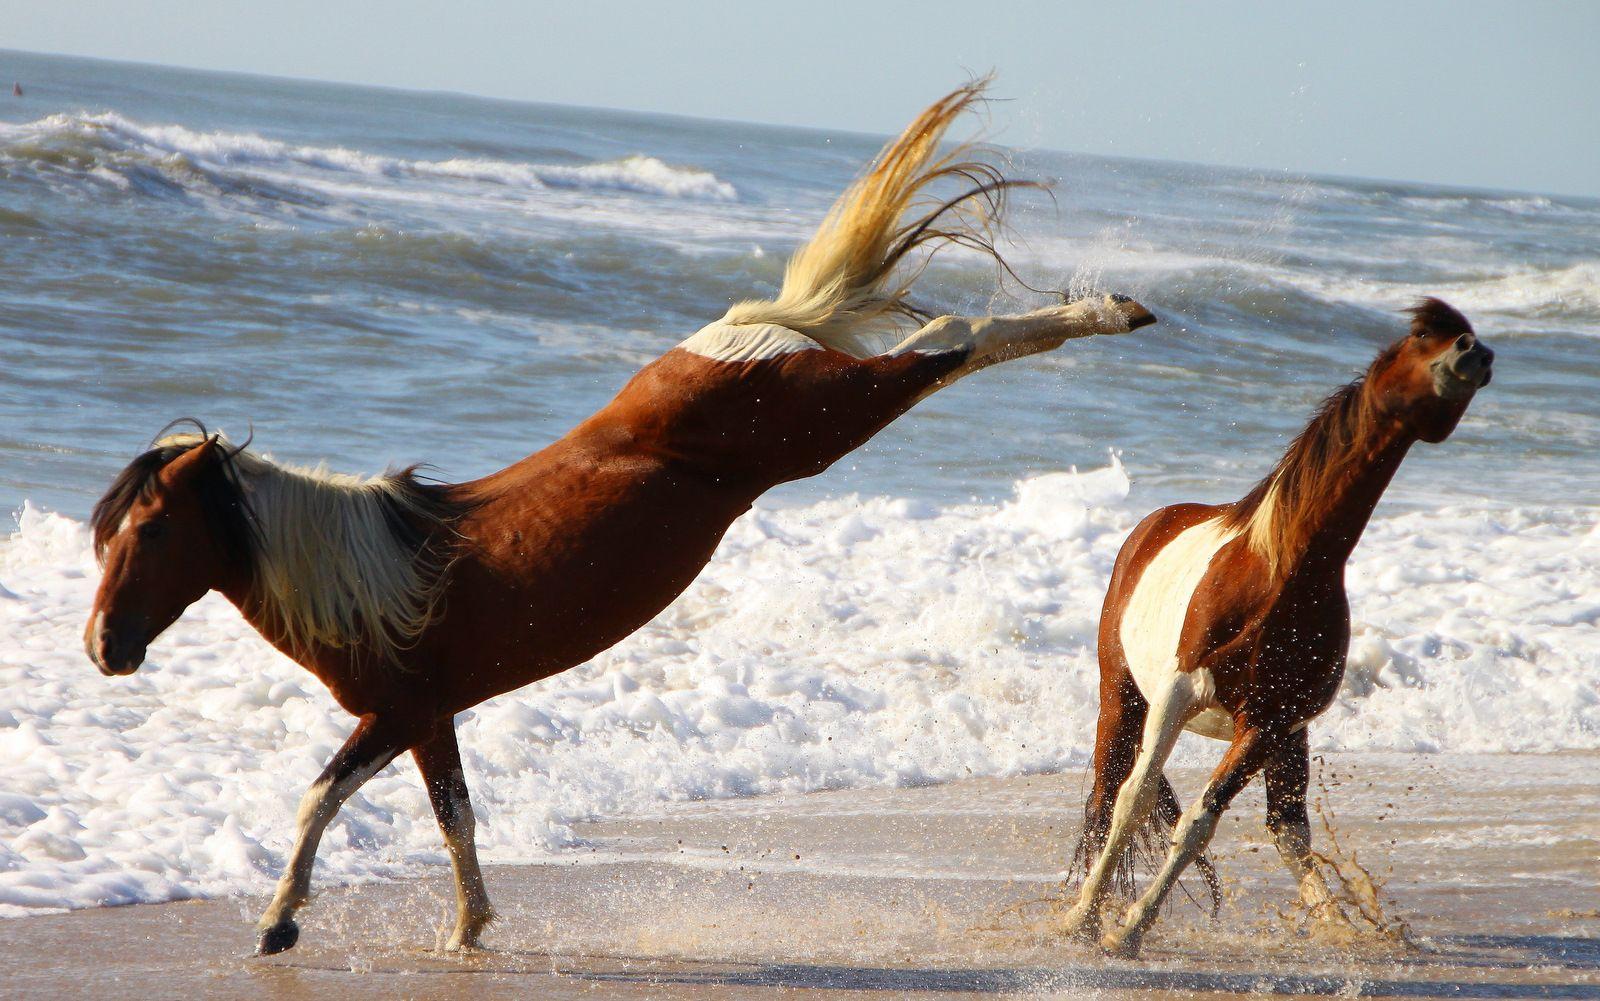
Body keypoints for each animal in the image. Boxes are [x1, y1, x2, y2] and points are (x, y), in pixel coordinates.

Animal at [83, 82, 1157, 956]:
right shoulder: (432, 718)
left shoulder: (402, 710)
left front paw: (281, 920)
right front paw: (466, 926)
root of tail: (726, 340)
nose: (104, 647)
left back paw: (1111, 310)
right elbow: (453, 816)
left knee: (948, 340)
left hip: (825, 421)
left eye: (151, 531)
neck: (370, 575)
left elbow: (325, 795)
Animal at [1060, 298, 1494, 956]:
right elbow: (1137, 803)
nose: (1477, 353)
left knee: (1284, 827)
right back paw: (1082, 914)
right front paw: (1110, 925)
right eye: (1423, 333)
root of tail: (1153, 524)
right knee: (1110, 794)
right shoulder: (1181, 691)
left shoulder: (1272, 720)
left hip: (1283, 739)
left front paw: (1132, 924)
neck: (1285, 572)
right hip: (1126, 696)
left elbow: (1209, 823)